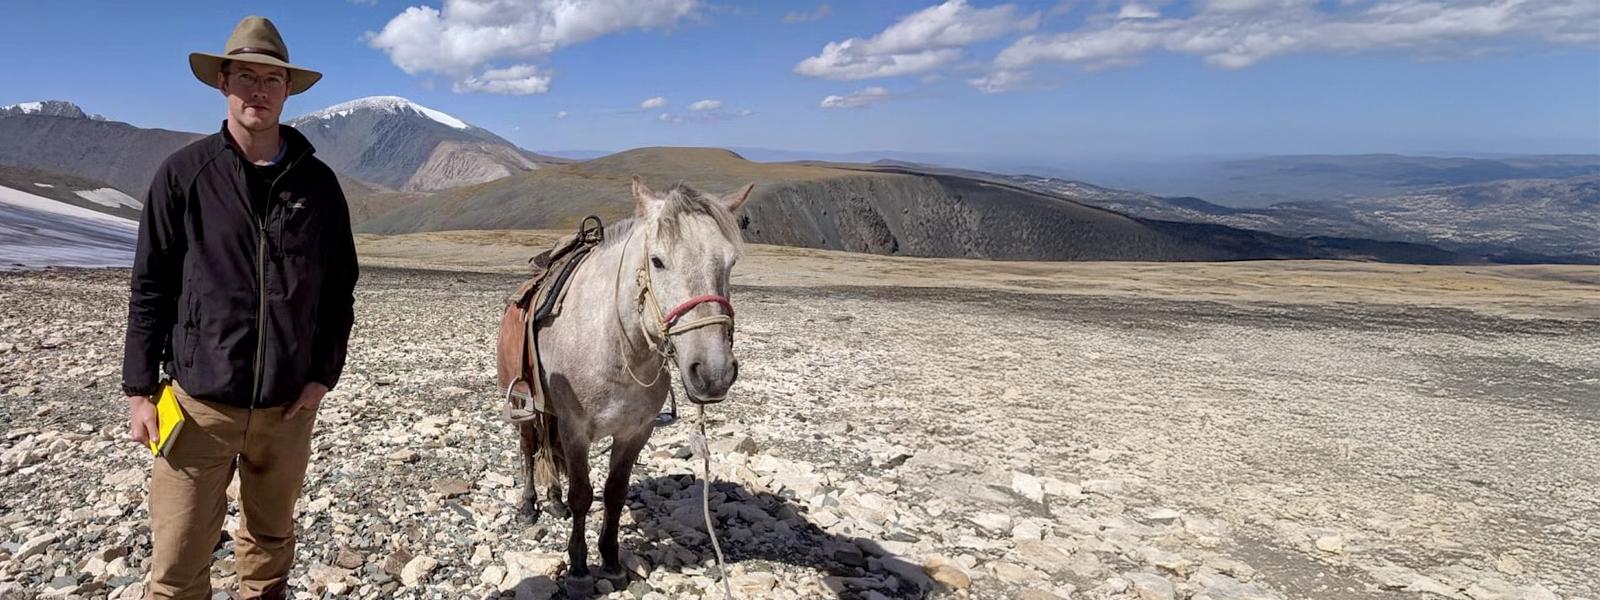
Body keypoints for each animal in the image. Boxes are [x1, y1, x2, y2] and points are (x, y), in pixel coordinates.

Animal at [495, 176, 752, 596]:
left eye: (731, 262)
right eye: (657, 261)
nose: (713, 373)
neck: (618, 345)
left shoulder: (635, 432)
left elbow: (615, 494)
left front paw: (612, 562)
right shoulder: (576, 430)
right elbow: (583, 494)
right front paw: (579, 569)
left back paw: (553, 501)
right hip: (523, 404)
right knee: (530, 450)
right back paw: (529, 505)